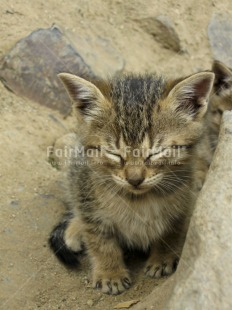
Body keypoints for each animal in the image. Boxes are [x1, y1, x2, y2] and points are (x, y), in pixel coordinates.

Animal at [49, 71, 215, 296]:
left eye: (155, 153)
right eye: (114, 154)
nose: (134, 179)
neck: (139, 200)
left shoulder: (184, 199)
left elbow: (172, 230)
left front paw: (162, 257)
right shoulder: (88, 198)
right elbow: (100, 241)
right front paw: (110, 273)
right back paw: (74, 230)